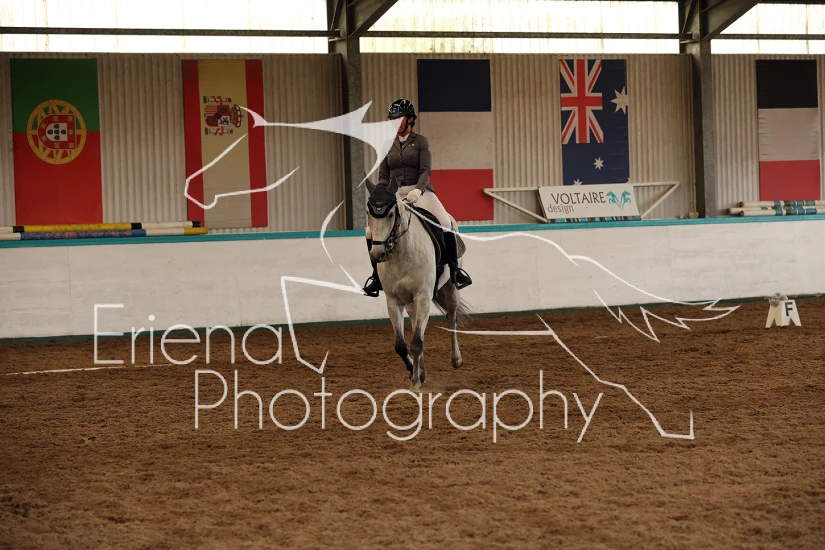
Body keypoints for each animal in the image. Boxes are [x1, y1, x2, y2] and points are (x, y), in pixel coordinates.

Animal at [365, 178, 471, 391]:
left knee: (452, 317)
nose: (377, 254)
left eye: (390, 214)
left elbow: (416, 342)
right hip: (410, 302)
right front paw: (416, 373)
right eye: (368, 213)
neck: (402, 253)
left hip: (450, 288)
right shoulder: (393, 300)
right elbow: (402, 344)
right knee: (416, 325)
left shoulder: (423, 296)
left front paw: (415, 383)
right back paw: (421, 370)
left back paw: (456, 359)